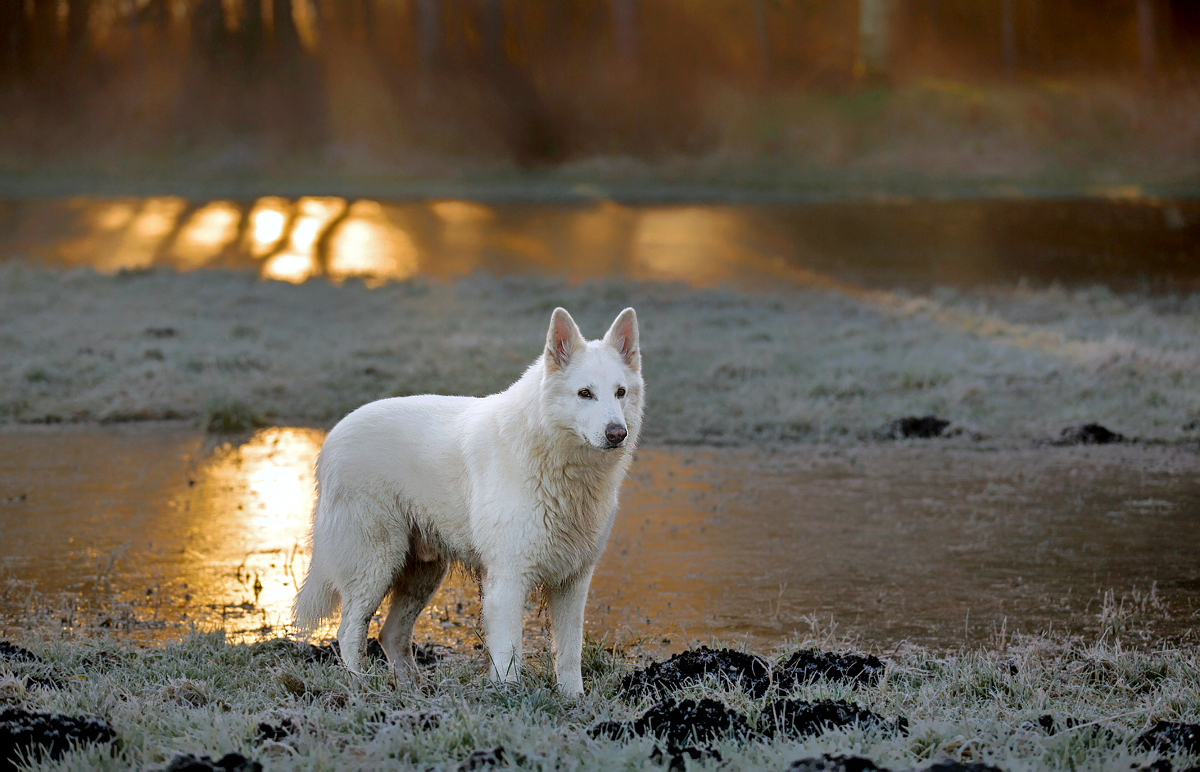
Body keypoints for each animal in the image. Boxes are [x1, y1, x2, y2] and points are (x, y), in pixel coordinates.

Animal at [294, 306, 643, 696]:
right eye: (585, 393)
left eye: (620, 392)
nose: (617, 433)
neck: (559, 463)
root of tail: (331, 440)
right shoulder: (507, 580)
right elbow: (509, 655)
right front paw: (509, 699)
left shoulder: (573, 582)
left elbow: (569, 654)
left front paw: (574, 700)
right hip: (375, 564)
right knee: (349, 630)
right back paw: (363, 689)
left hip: (422, 573)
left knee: (390, 634)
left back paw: (416, 691)